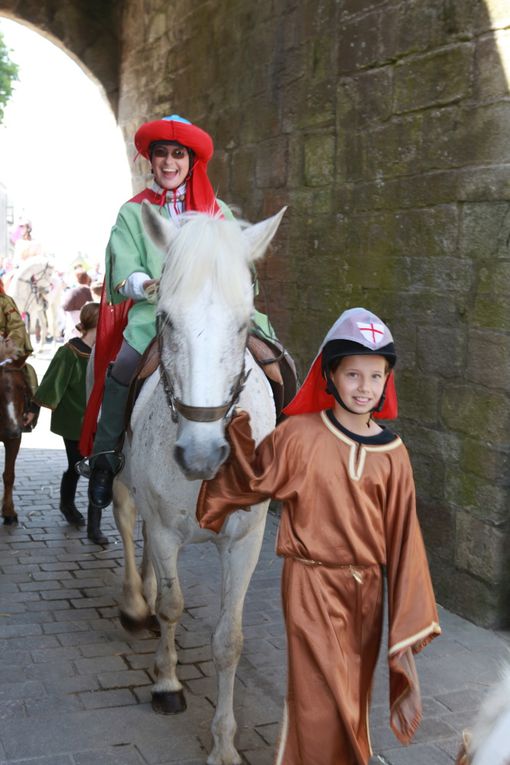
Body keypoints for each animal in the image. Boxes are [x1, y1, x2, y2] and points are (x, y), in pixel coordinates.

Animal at [112, 204, 284, 764]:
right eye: (166, 317)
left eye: (244, 322)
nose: (202, 453)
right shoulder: (168, 530)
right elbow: (172, 606)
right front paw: (167, 683)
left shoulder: (246, 540)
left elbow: (228, 640)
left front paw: (224, 744)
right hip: (123, 479)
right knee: (127, 519)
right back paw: (135, 603)